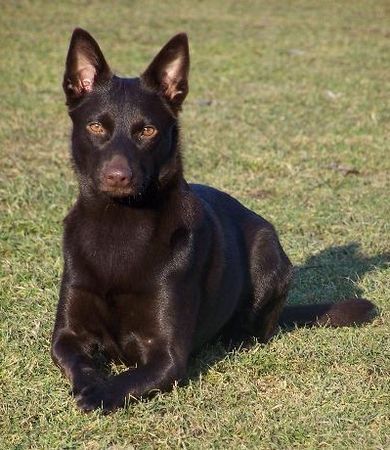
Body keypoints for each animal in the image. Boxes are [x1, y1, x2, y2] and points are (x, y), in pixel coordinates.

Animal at [51, 29, 374, 414]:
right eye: (96, 126)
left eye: (147, 131)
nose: (118, 177)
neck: (119, 223)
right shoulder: (66, 336)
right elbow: (77, 360)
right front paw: (90, 381)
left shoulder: (167, 357)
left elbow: (124, 382)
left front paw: (97, 393)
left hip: (269, 255)